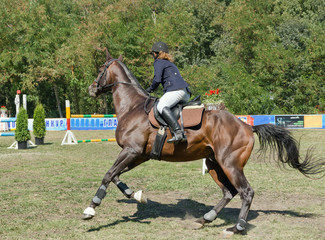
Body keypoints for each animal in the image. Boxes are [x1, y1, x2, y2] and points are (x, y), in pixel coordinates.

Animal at [83, 50, 322, 234]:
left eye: (101, 68)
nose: (91, 89)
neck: (132, 106)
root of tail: (247, 126)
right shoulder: (139, 154)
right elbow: (116, 175)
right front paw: (135, 195)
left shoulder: (131, 151)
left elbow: (108, 174)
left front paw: (91, 208)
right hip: (215, 163)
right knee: (229, 192)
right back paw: (206, 218)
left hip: (230, 164)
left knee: (246, 192)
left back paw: (237, 227)